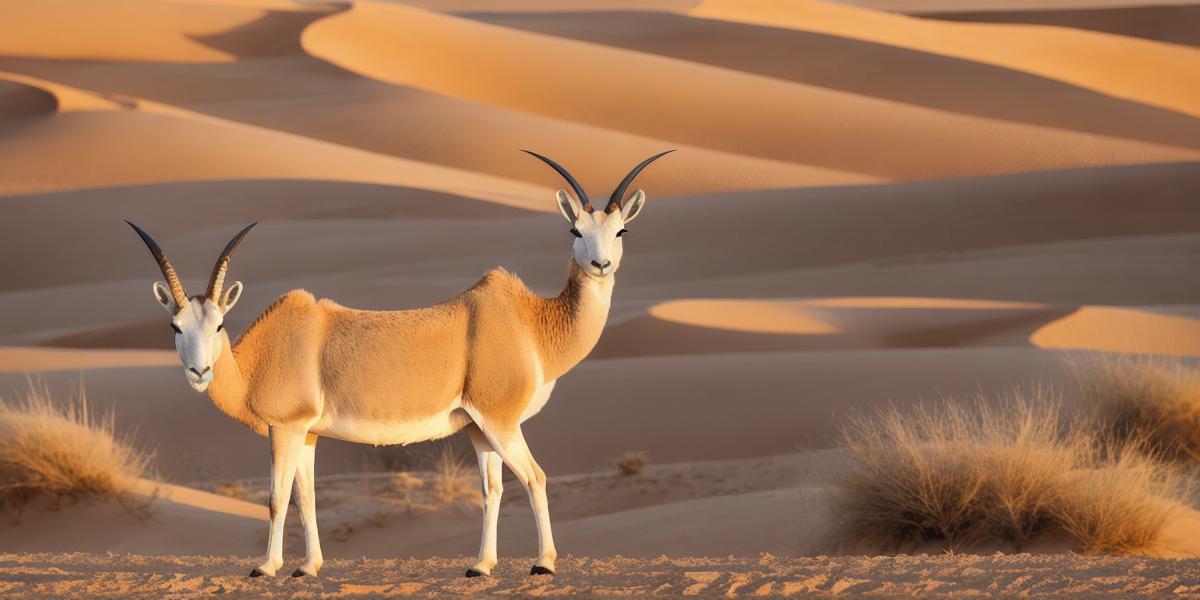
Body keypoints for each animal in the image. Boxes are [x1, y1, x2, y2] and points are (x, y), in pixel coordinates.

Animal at [130, 151, 676, 580]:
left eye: (219, 324)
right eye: (176, 326)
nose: (200, 373)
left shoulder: (283, 430)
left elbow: (276, 498)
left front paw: (265, 567)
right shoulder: (305, 434)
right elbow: (307, 499)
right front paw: (308, 567)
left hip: (499, 424)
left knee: (535, 477)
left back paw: (542, 563)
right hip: (482, 429)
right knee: (496, 487)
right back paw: (480, 566)